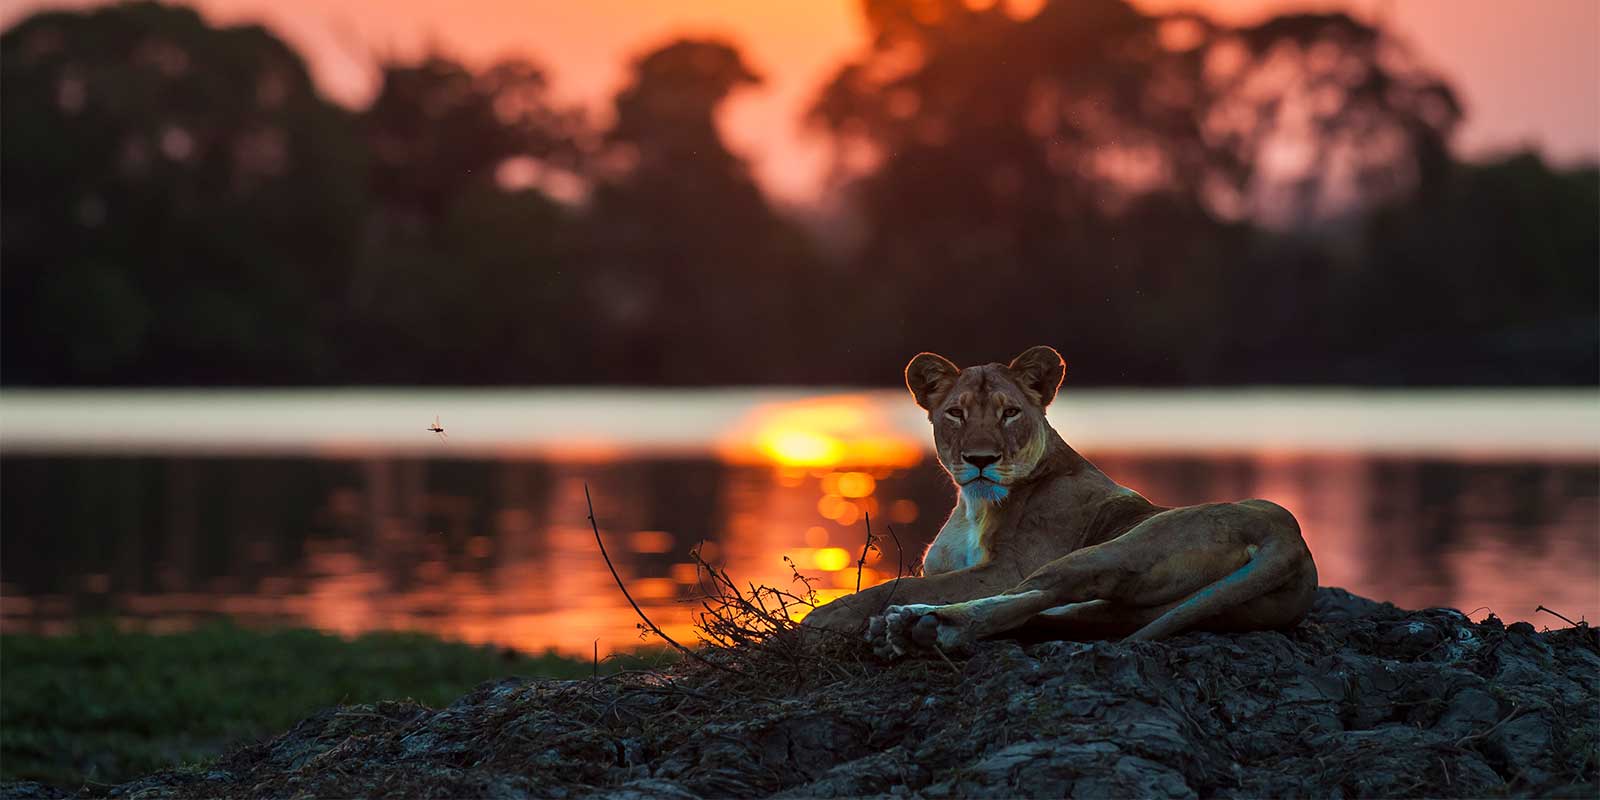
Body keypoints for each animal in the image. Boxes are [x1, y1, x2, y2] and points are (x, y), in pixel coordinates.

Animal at [802, 345, 1318, 658]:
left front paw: (823, 618)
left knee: (1032, 595)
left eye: (1010, 413)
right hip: (1140, 608)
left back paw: (919, 626)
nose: (981, 459)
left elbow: (899, 585)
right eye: (956, 413)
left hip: (1117, 548)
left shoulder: (1004, 568)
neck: (973, 505)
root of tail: (1289, 535)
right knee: (1044, 612)